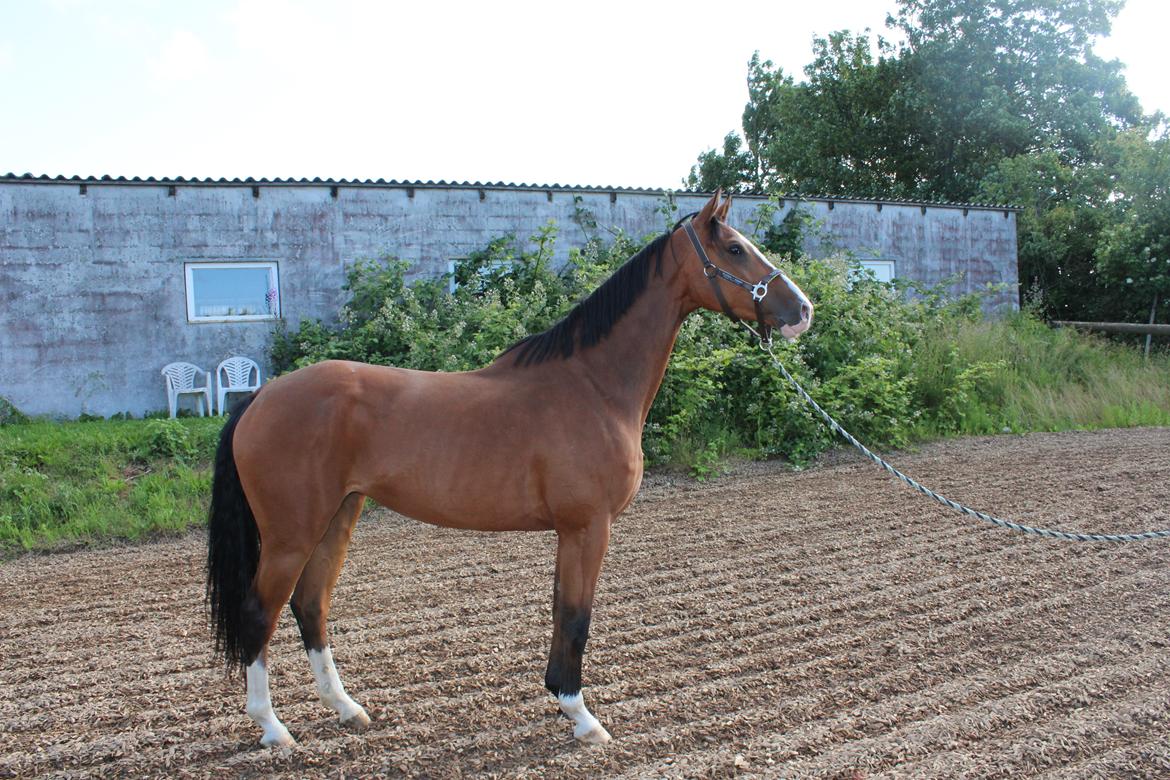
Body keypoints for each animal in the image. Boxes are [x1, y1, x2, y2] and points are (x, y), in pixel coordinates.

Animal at [208, 191, 814, 748]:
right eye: (734, 249)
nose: (803, 311)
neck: (592, 385)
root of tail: (260, 397)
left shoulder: (571, 531)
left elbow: (562, 613)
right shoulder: (587, 527)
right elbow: (576, 618)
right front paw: (582, 718)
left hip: (338, 516)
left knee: (310, 606)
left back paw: (347, 709)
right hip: (291, 534)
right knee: (260, 613)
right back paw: (272, 729)